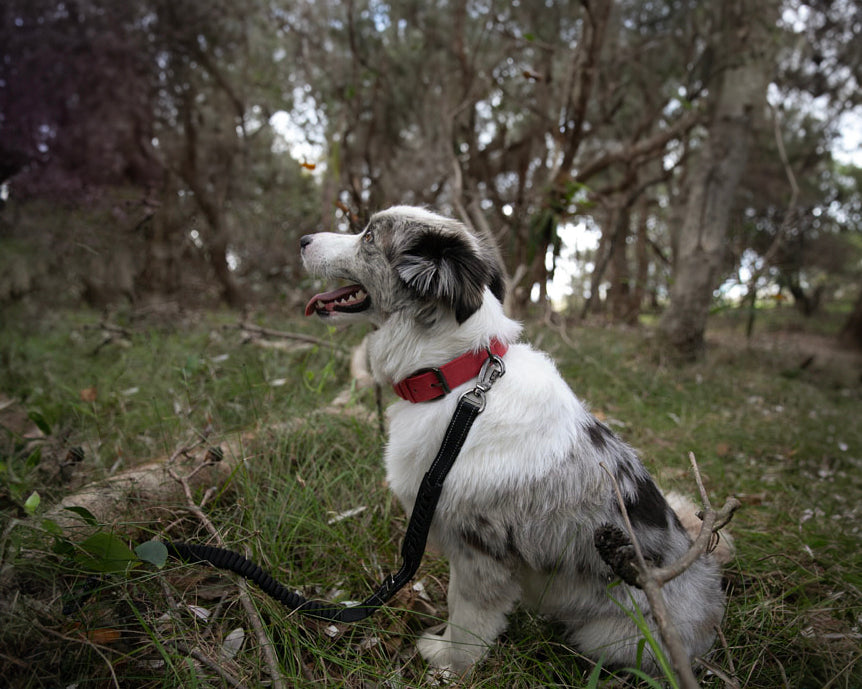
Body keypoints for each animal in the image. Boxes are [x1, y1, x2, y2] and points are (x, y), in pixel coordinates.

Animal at [300, 207, 732, 676]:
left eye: (368, 237)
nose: (302, 240)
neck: (458, 378)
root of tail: (711, 614)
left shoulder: (479, 551)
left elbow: (467, 616)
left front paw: (451, 665)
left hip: (608, 635)